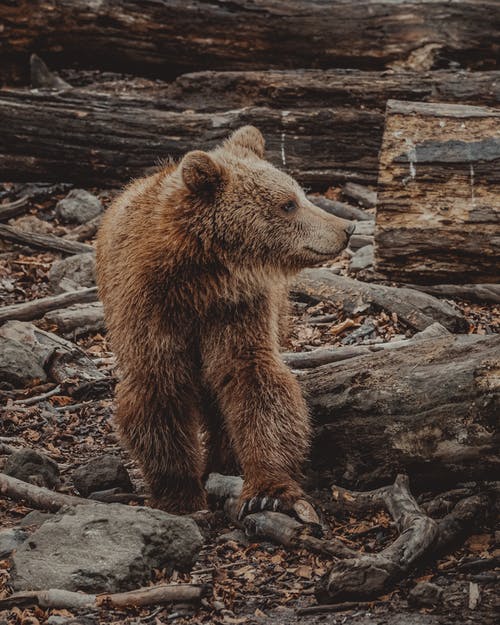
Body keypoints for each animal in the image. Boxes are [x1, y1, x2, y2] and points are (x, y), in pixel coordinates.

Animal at [95, 127, 354, 516]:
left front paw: (266, 490)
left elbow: (252, 378)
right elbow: (159, 388)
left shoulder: (237, 307)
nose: (346, 227)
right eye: (288, 204)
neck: (198, 278)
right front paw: (179, 494)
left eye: (299, 194)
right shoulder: (150, 308)